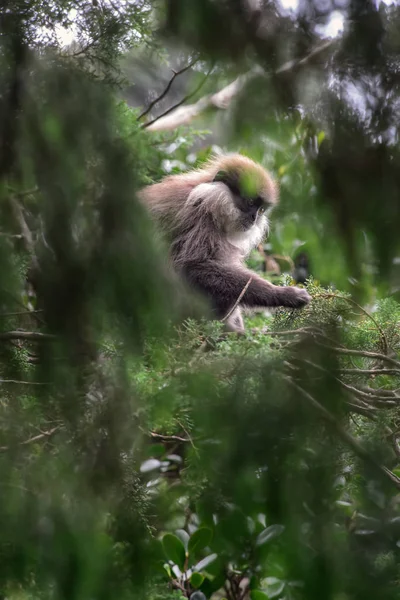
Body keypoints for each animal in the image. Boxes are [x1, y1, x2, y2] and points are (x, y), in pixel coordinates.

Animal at [139, 154, 310, 332]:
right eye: (250, 202)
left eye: (261, 209)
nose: (254, 218)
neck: (206, 195)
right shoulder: (198, 216)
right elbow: (195, 265)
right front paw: (284, 294)